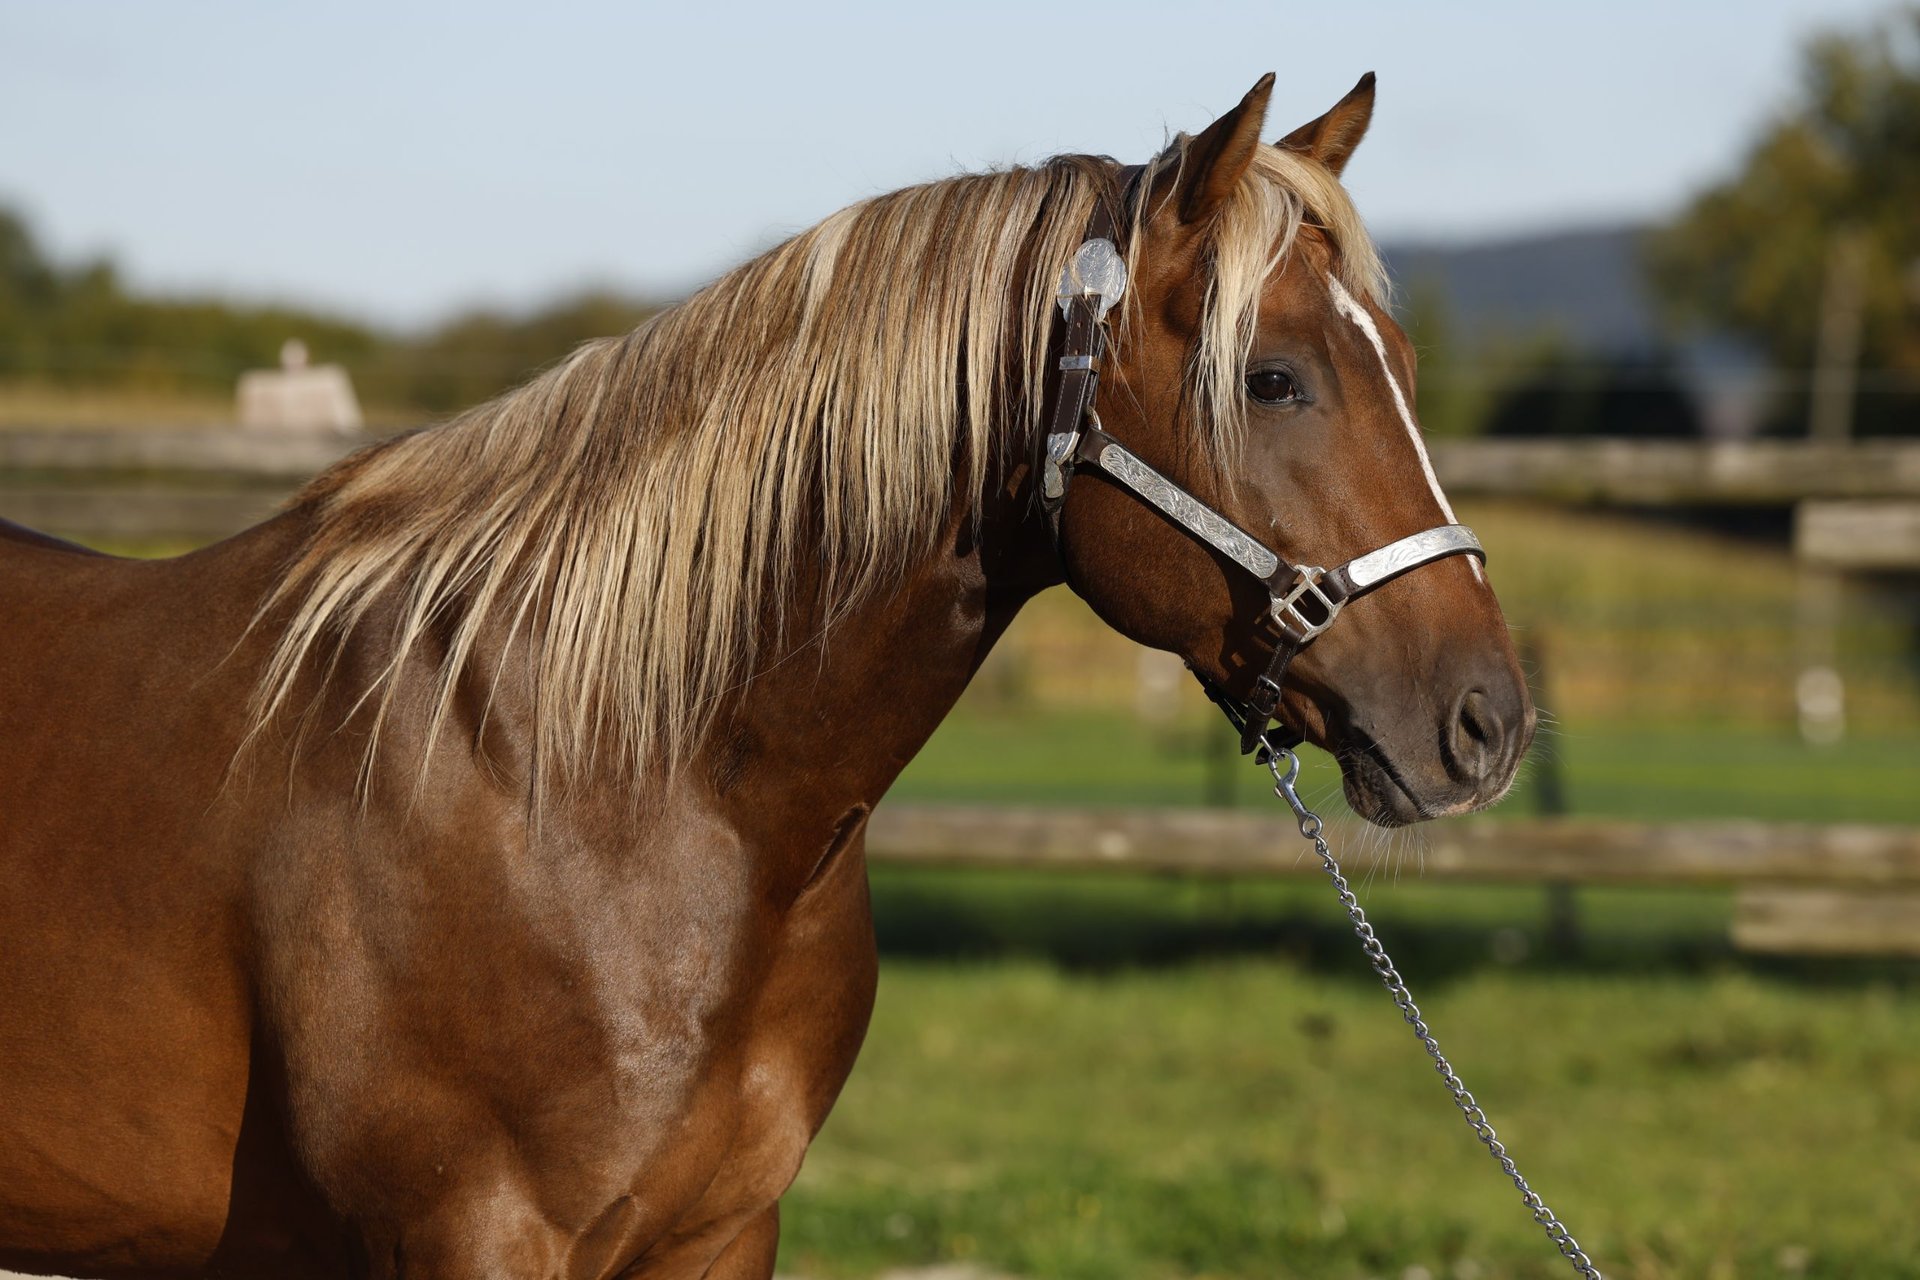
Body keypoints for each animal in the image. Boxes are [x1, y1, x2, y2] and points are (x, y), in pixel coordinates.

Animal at [0, 73, 1532, 1279]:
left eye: (1402, 362)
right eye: (1273, 379)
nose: (1486, 722)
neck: (590, 783)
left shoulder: (725, 1231)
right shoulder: (465, 1240)